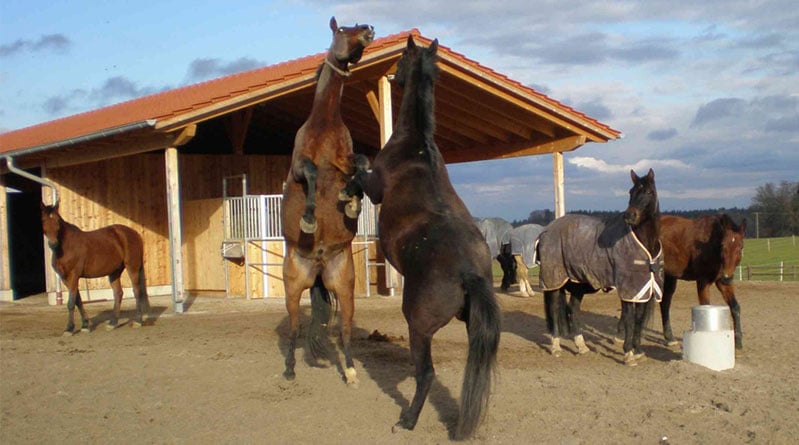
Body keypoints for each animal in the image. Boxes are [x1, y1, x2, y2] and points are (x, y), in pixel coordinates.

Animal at [40, 202, 150, 335]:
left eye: (57, 221)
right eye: (43, 220)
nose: (53, 243)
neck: (65, 246)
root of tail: (135, 233)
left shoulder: (73, 276)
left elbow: (71, 303)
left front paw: (69, 328)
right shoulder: (65, 278)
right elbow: (78, 300)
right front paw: (85, 325)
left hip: (132, 267)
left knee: (137, 291)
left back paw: (137, 321)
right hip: (114, 271)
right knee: (118, 294)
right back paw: (112, 323)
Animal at [280, 17, 374, 388]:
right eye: (342, 30)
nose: (369, 30)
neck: (325, 124)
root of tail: (318, 262)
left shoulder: (345, 161)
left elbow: (361, 164)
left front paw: (350, 201)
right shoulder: (299, 167)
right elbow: (310, 173)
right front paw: (309, 218)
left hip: (344, 286)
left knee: (346, 332)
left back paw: (350, 371)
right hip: (293, 286)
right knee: (293, 329)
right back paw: (289, 371)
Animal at [342, 36, 501, 440]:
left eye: (400, 60)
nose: (395, 76)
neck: (415, 146)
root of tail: (467, 273)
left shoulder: (375, 188)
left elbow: (360, 169)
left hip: (419, 327)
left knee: (426, 374)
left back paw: (407, 420)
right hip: (470, 325)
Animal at [536, 169, 663, 366]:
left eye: (649, 192)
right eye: (631, 192)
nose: (630, 216)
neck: (644, 243)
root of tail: (547, 231)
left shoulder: (643, 287)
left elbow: (639, 320)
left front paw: (638, 350)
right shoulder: (628, 288)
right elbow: (629, 319)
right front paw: (628, 353)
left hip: (577, 283)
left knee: (573, 310)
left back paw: (581, 346)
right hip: (554, 280)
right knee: (555, 309)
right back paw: (556, 346)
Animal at [659, 214, 746, 349]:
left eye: (740, 247)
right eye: (723, 246)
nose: (727, 277)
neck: (710, 244)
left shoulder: (722, 283)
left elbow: (735, 307)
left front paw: (738, 341)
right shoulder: (702, 282)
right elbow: (706, 305)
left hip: (670, 277)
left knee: (665, 303)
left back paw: (669, 338)